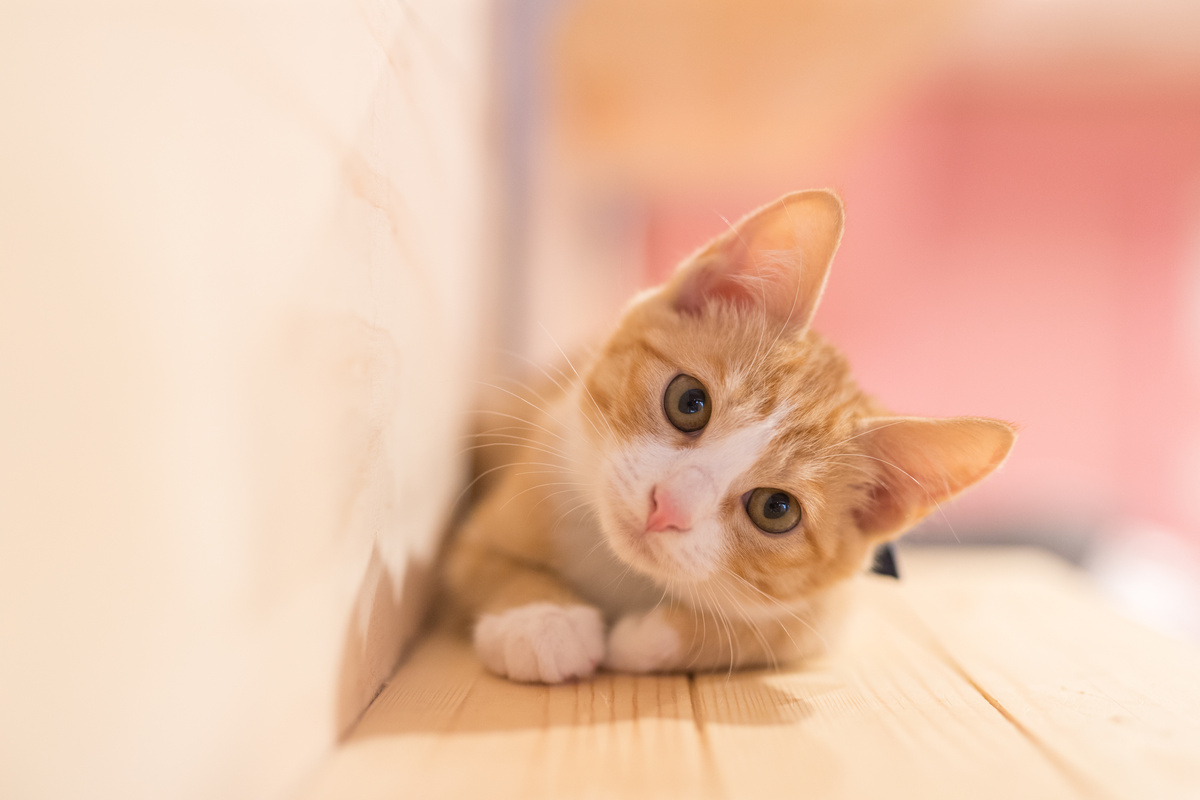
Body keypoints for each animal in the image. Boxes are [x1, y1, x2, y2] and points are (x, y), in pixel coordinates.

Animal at [441, 190, 1012, 686]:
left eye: (776, 509)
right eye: (689, 402)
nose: (667, 506)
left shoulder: (831, 609)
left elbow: (773, 632)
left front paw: (644, 637)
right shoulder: (506, 501)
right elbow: (486, 563)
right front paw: (541, 621)